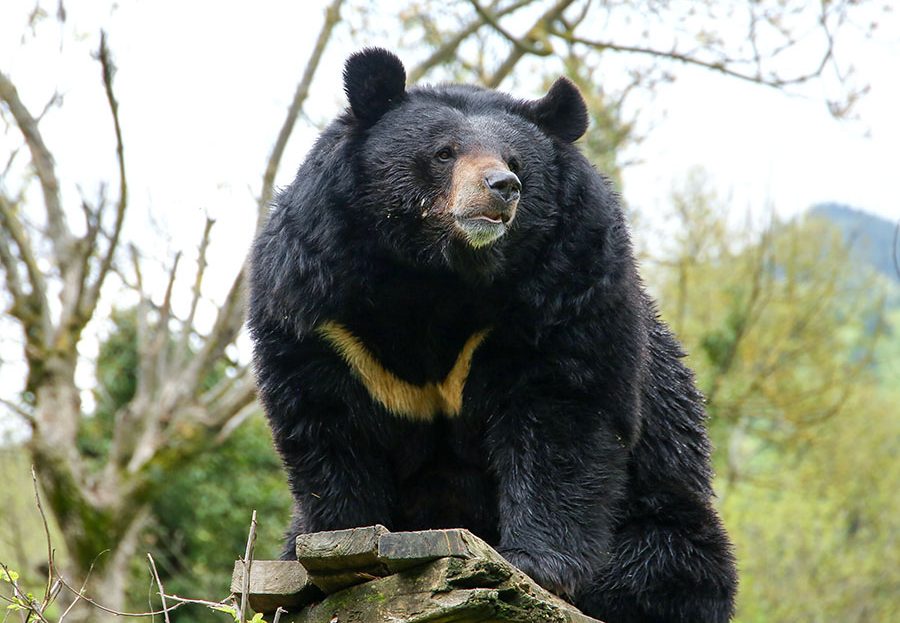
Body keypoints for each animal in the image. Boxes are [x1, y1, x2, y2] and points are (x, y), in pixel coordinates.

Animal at [248, 48, 737, 623]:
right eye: (443, 153)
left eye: (516, 161)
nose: (503, 188)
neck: (436, 272)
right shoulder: (319, 303)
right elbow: (328, 424)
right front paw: (330, 554)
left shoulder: (568, 282)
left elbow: (562, 413)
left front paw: (536, 563)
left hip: (666, 516)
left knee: (659, 568)